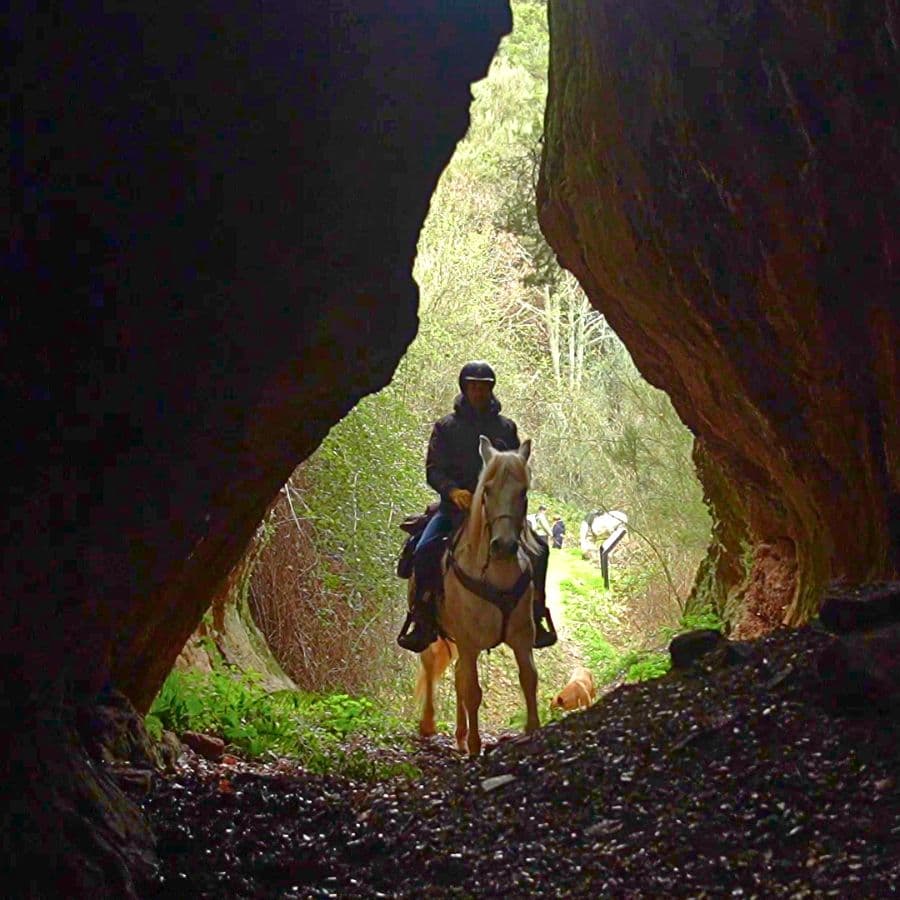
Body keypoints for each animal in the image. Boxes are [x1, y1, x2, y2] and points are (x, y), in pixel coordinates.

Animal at [416, 436, 540, 756]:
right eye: (487, 490)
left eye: (523, 491)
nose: (504, 546)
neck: (496, 573)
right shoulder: (469, 641)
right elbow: (472, 690)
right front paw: (474, 746)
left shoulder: (522, 637)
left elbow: (529, 679)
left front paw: (533, 730)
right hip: (434, 634)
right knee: (431, 664)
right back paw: (429, 725)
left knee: (458, 674)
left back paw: (459, 735)